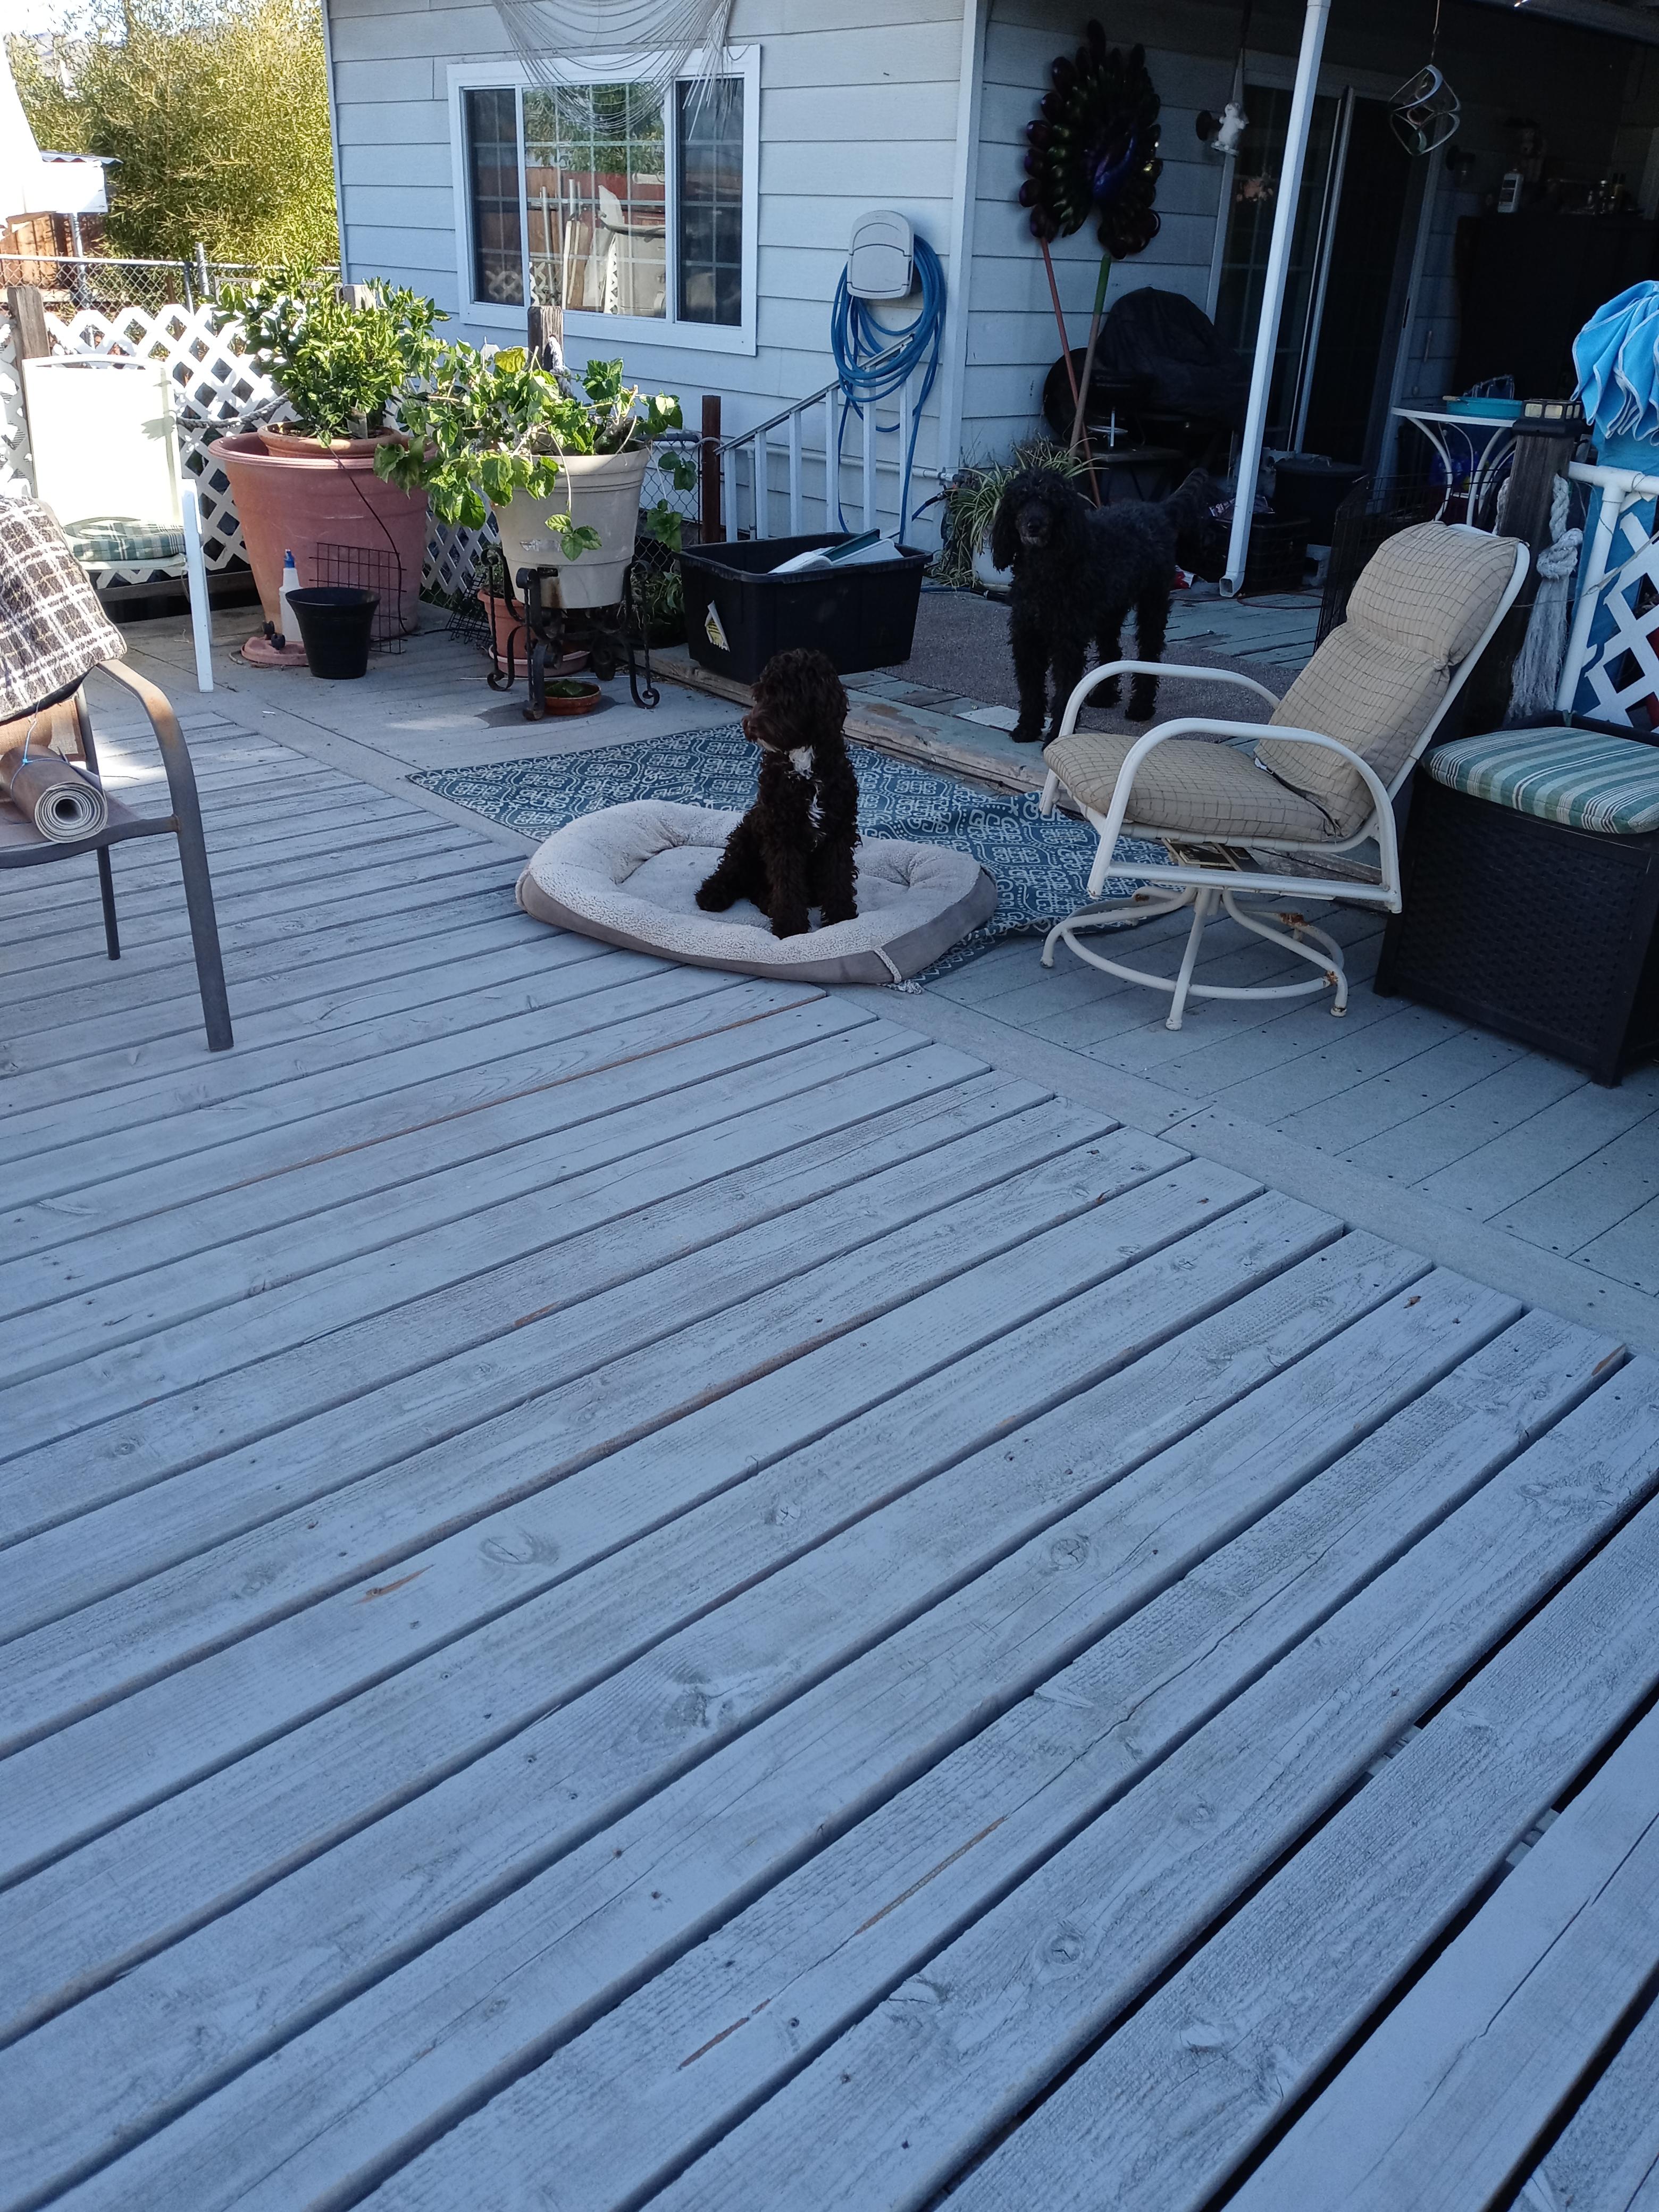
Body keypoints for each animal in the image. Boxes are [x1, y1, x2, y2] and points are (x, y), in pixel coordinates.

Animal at [695, 646, 860, 938]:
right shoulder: (781, 833)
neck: (804, 762)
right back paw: (712, 894)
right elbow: (787, 884)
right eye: (760, 694)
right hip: (746, 835)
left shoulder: (839, 830)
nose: (750, 725)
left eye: (786, 698)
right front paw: (790, 928)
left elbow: (838, 876)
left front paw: (842, 920)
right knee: (731, 870)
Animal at [990, 467, 1228, 742]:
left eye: (1050, 501)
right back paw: (1104, 696)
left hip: (1152, 605)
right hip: (1109, 612)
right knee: (1112, 654)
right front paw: (1028, 727)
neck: (1045, 570)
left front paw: (1057, 734)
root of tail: (1159, 509)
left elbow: (1066, 693)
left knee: (1149, 656)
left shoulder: (1067, 643)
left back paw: (1140, 707)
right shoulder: (1026, 637)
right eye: (1021, 500)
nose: (1034, 525)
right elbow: (1030, 687)